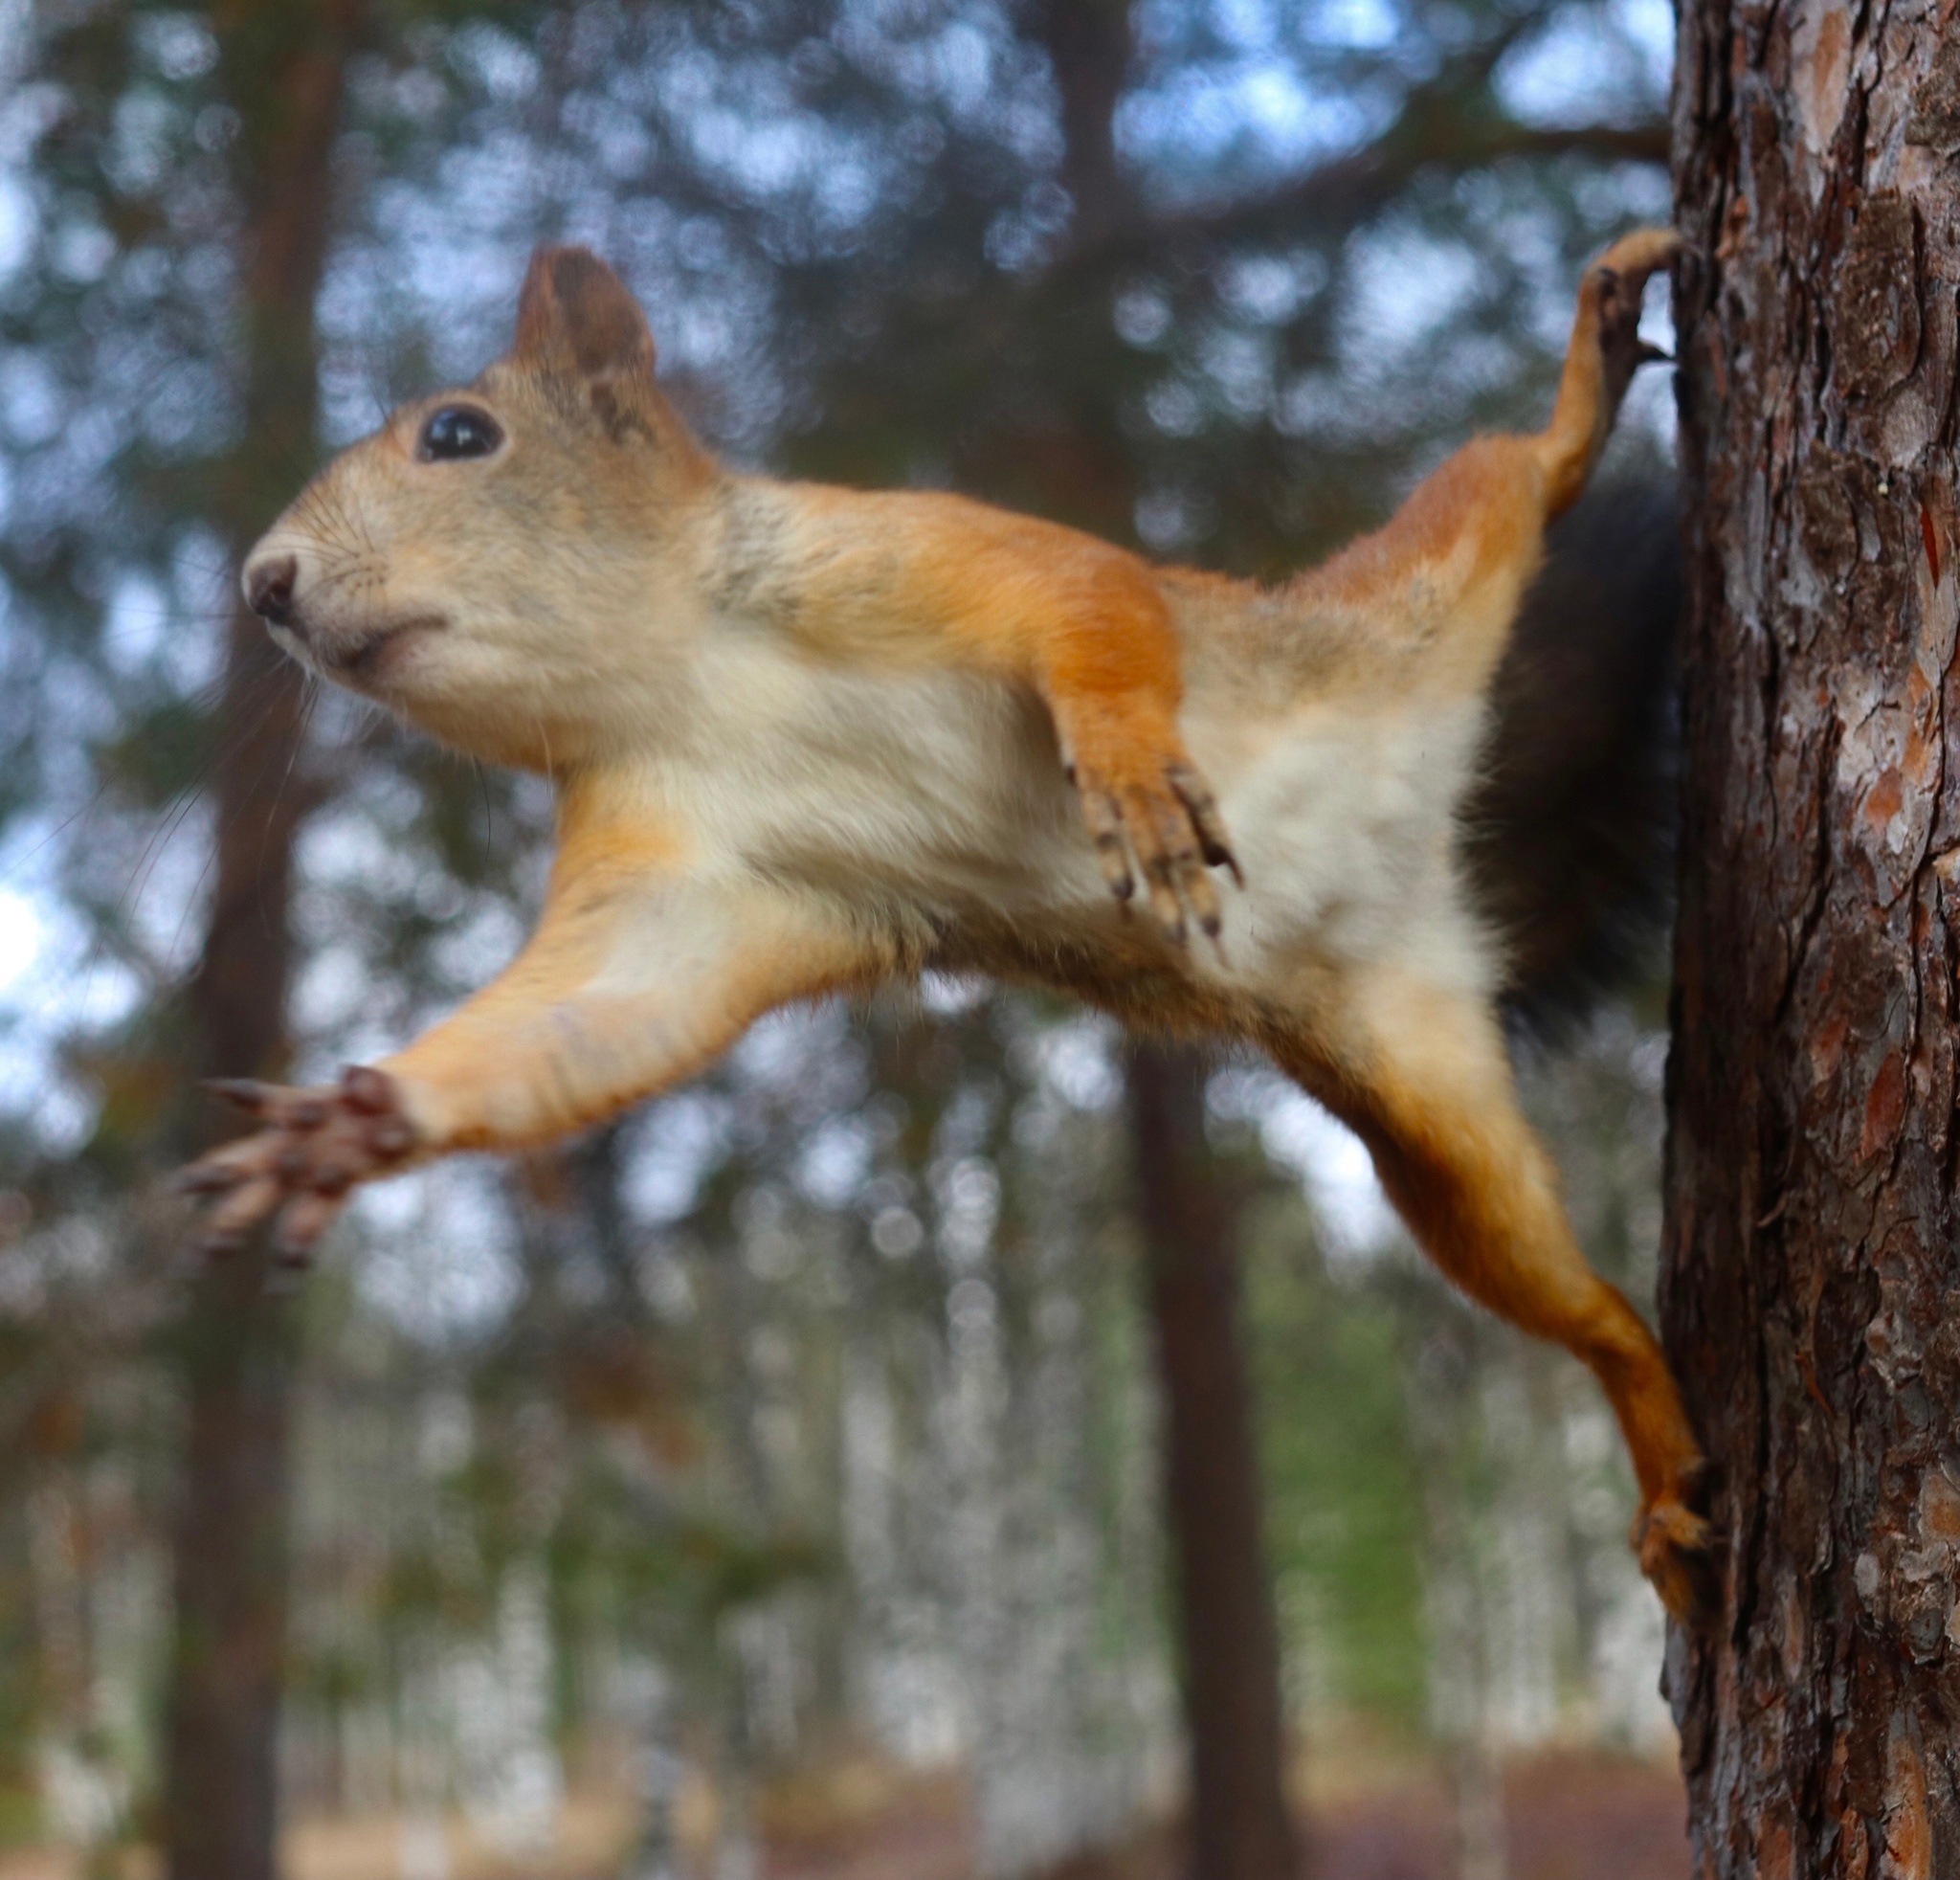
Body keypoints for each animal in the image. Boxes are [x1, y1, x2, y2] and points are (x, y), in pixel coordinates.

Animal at [184, 231, 1717, 1615]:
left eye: (458, 433)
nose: (263, 586)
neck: (677, 674)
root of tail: (1436, 842)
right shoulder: (672, 877)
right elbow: (593, 1019)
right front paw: (353, 1124)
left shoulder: (915, 545)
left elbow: (1090, 595)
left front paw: (1129, 777)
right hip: (1419, 1104)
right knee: (1569, 1297)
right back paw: (1655, 1455)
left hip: (1410, 589)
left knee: (1507, 476)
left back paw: (1584, 374)